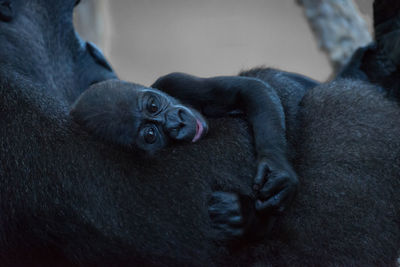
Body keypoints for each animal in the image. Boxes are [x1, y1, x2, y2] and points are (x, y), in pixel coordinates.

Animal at [70, 75, 298, 241]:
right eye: (150, 135)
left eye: (153, 106)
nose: (176, 123)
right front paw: (245, 217)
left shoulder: (172, 81)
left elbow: (250, 89)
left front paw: (276, 169)